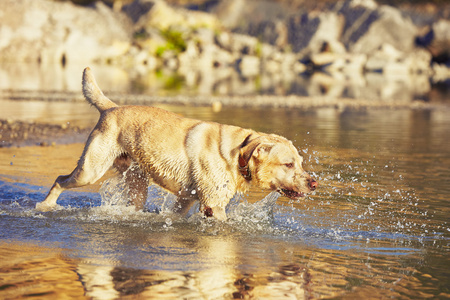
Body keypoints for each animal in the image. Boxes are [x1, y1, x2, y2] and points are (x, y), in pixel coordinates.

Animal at [36, 67, 316, 220]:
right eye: (288, 164)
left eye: (300, 163)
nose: (314, 182)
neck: (236, 156)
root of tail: (111, 108)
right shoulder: (213, 204)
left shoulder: (186, 199)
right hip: (90, 170)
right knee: (59, 179)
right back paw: (46, 205)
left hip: (137, 182)